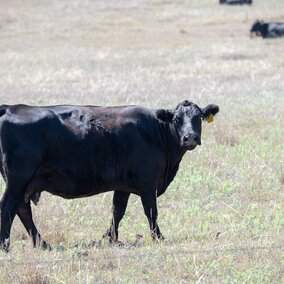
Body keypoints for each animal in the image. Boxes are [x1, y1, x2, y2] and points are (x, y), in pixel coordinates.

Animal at [0, 100, 220, 251]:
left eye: (198, 117)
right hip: (19, 179)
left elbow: (117, 211)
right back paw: (6, 245)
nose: (190, 138)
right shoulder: (148, 182)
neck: (156, 131)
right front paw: (158, 237)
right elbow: (151, 211)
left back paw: (42, 244)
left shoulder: (122, 186)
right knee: (9, 207)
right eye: (177, 119)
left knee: (22, 210)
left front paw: (111, 238)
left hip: (25, 182)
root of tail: (11, 107)